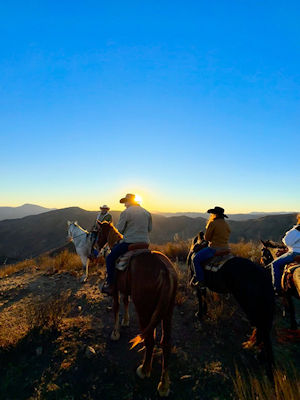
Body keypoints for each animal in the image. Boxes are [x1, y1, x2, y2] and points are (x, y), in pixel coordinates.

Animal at [97, 222, 177, 396]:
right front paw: (125, 321)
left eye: (98, 232)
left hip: (144, 310)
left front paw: (115, 333)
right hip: (168, 312)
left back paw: (144, 370)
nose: (96, 246)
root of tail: (165, 271)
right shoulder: (125, 290)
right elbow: (126, 302)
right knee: (165, 343)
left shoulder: (115, 291)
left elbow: (116, 307)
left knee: (150, 340)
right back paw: (164, 385)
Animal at [188, 234, 274, 376]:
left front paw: (199, 314)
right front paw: (204, 313)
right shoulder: (203, 286)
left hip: (251, 306)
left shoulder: (198, 284)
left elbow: (200, 298)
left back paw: (260, 356)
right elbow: (204, 298)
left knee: (262, 328)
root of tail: (263, 274)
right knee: (263, 329)